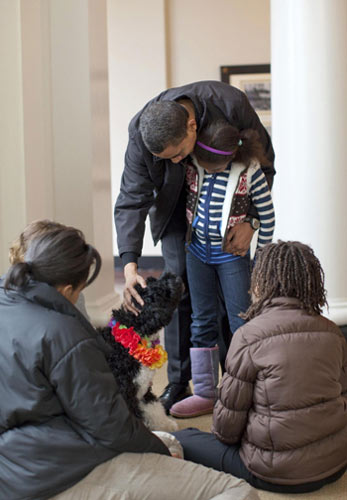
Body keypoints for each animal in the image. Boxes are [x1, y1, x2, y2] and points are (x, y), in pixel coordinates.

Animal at [99, 272, 184, 432]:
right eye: (160, 291)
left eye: (151, 280)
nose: (171, 274)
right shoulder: (126, 393)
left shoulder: (143, 391)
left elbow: (155, 409)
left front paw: (166, 425)